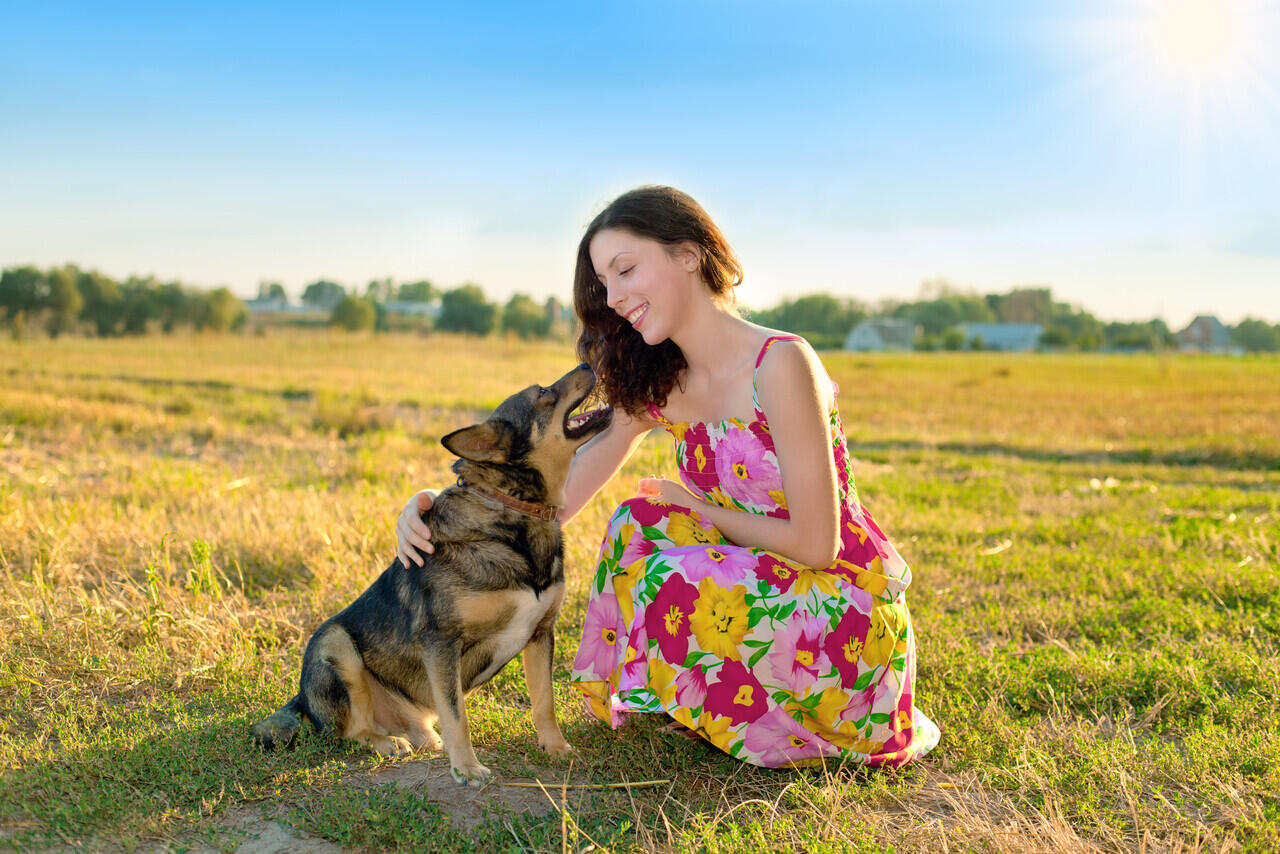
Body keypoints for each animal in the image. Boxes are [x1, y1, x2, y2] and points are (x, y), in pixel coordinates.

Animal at [254, 363, 614, 783]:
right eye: (543, 392)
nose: (588, 364)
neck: (515, 510)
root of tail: (301, 698)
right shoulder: (441, 641)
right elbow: (458, 717)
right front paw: (468, 768)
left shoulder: (541, 634)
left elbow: (544, 702)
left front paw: (556, 748)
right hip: (335, 644)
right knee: (348, 732)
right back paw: (384, 743)